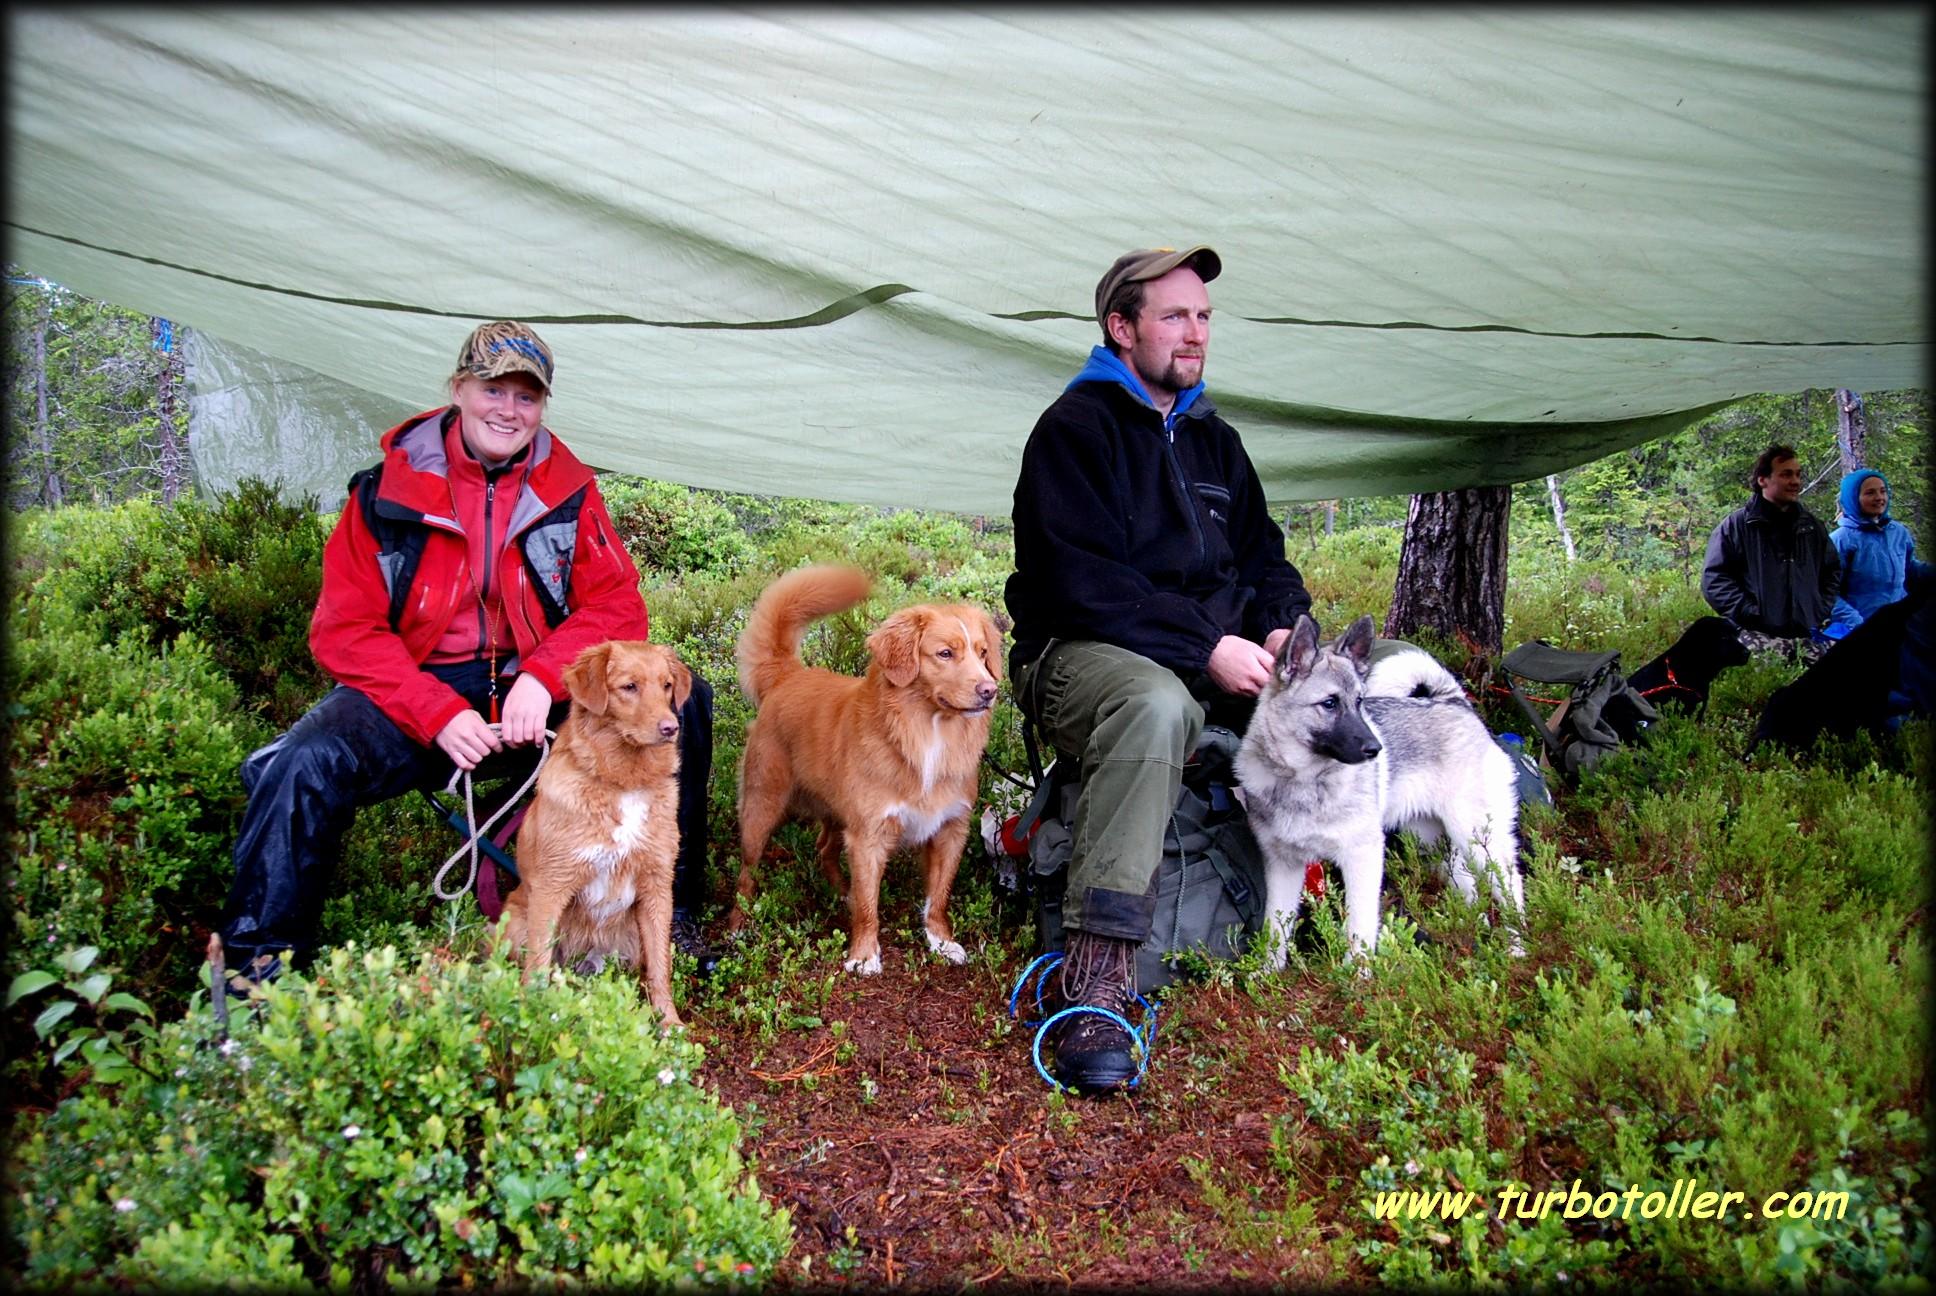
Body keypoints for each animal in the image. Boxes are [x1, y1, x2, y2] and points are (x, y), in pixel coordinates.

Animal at [1239, 616, 1525, 960]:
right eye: (1330, 703)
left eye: (1359, 702)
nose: (1375, 748)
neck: (1304, 781)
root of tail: (1455, 702)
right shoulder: (1284, 866)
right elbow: (1275, 930)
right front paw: (1269, 969)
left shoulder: (1363, 857)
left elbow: (1359, 928)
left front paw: (1356, 970)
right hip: (1435, 840)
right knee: (1468, 886)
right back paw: (1471, 927)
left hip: (1479, 840)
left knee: (1512, 887)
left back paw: (1516, 945)